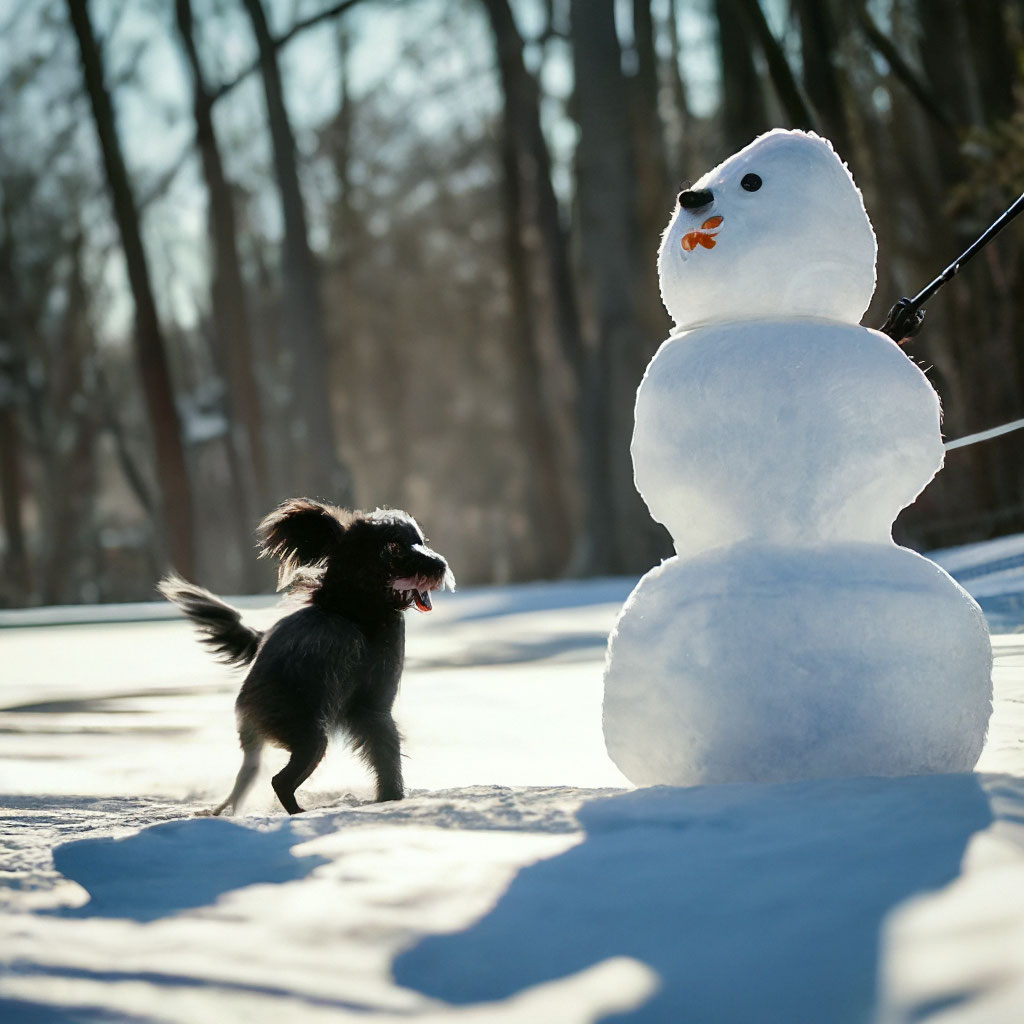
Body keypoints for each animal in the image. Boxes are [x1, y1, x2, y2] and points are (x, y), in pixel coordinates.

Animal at [156, 497, 452, 815]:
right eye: (394, 547)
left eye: (420, 540)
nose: (440, 565)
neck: (345, 604)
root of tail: (249, 707)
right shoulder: (374, 707)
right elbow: (387, 757)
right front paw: (392, 797)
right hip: (311, 739)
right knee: (280, 781)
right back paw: (298, 813)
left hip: (266, 747)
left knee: (247, 779)